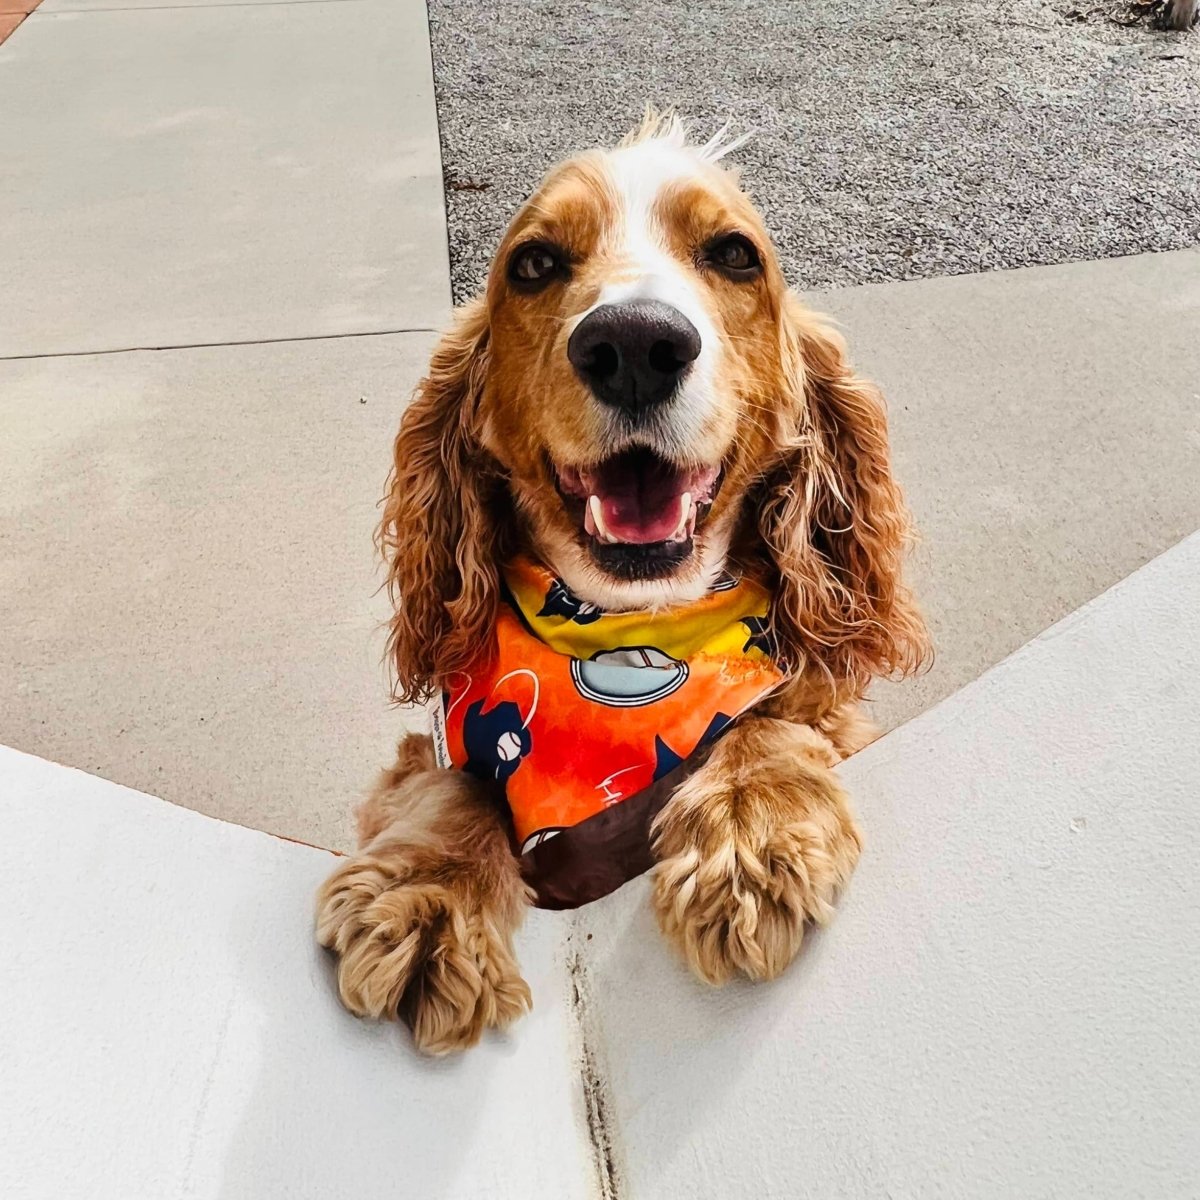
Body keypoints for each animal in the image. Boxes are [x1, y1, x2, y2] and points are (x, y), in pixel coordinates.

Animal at [316, 110, 926, 1051]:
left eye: (735, 254)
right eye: (533, 264)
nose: (635, 343)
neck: (626, 622)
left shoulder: (816, 707)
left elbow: (770, 719)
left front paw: (748, 833)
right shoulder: (431, 754)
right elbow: (454, 788)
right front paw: (427, 899)